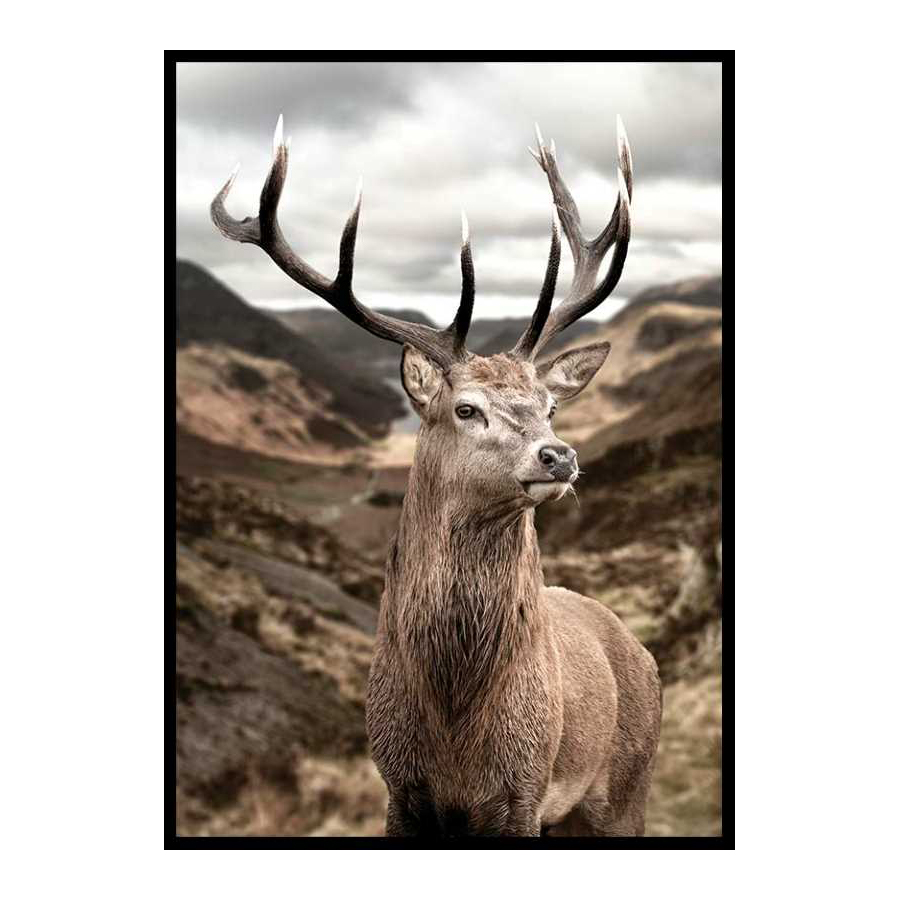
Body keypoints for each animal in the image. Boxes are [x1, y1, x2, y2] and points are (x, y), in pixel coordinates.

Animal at [211, 115, 662, 838]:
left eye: (551, 406)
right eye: (466, 408)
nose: (559, 455)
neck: (454, 731)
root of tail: (642, 652)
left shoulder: (525, 790)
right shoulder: (398, 785)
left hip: (625, 790)